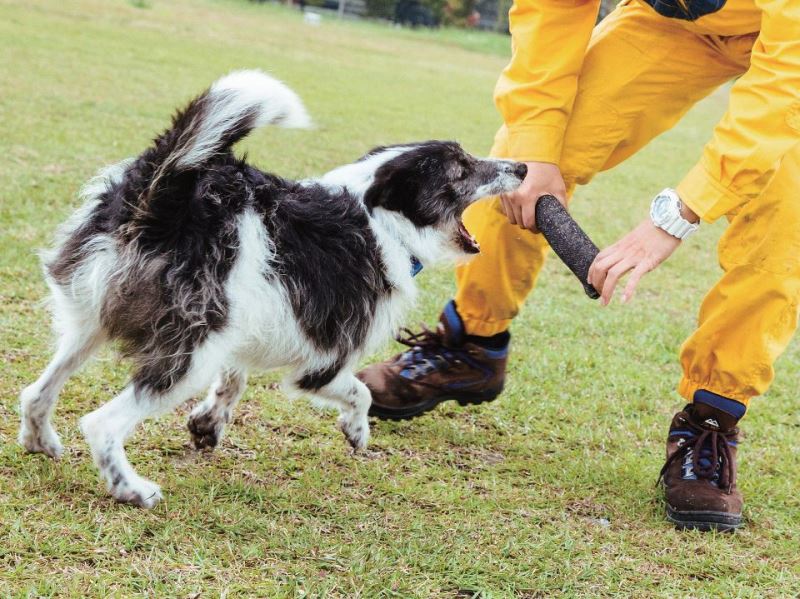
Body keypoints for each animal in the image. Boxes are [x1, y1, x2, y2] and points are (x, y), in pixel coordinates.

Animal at [18, 72, 528, 508]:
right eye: (461, 169)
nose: (523, 166)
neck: (380, 219)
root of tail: (162, 194)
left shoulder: (243, 325)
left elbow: (234, 379)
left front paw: (207, 425)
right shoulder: (322, 363)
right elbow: (359, 392)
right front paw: (357, 431)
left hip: (91, 322)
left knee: (36, 392)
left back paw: (40, 441)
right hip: (187, 355)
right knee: (101, 424)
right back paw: (131, 489)